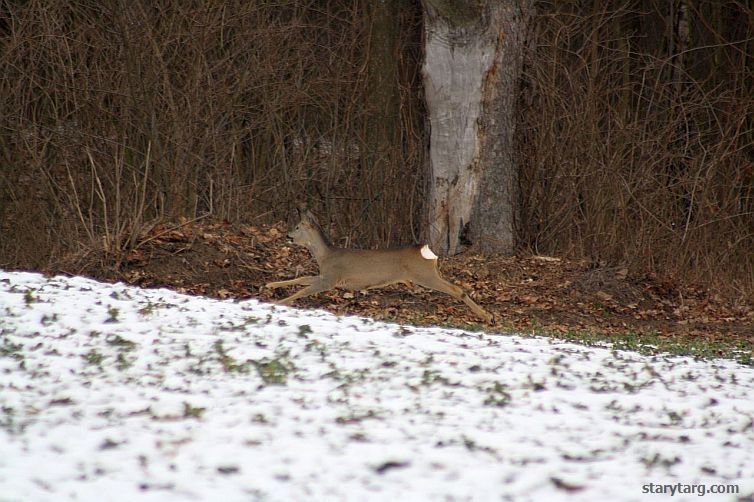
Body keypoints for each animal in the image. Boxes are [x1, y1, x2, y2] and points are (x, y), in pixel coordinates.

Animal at [264, 209, 494, 324]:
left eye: (297, 227)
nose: (287, 236)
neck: (325, 256)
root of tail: (427, 250)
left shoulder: (331, 278)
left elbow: (303, 290)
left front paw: (279, 302)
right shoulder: (326, 276)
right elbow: (302, 279)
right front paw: (270, 286)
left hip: (424, 274)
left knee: (457, 289)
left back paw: (488, 317)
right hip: (428, 273)